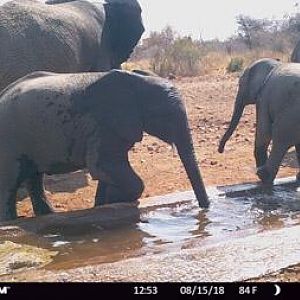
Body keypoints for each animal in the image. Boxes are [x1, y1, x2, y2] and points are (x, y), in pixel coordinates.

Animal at [0, 69, 209, 221]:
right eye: (164, 115)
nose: (204, 210)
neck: (136, 82)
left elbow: (106, 170)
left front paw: (104, 204)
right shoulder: (101, 125)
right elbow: (103, 167)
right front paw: (116, 200)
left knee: (34, 176)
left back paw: (48, 215)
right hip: (9, 139)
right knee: (11, 182)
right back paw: (10, 221)